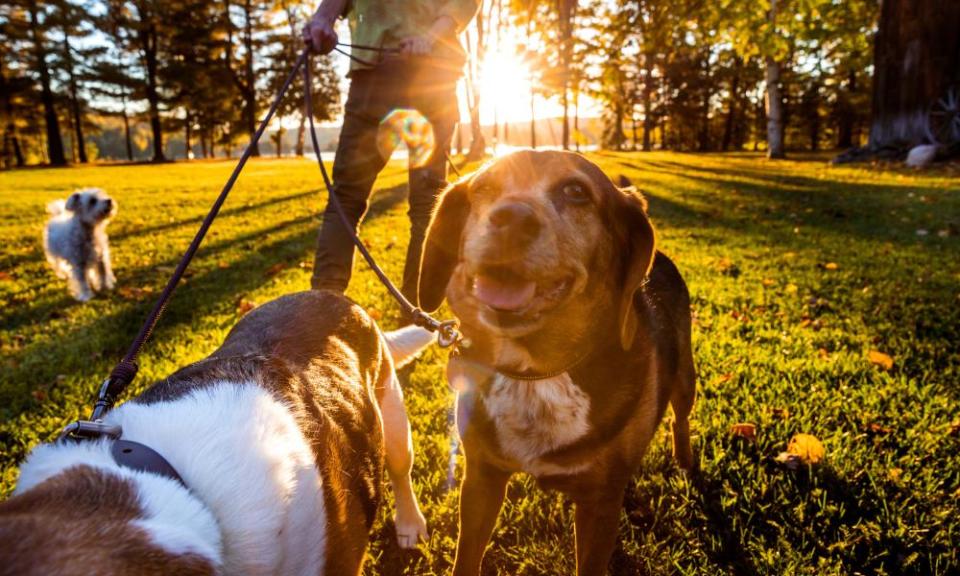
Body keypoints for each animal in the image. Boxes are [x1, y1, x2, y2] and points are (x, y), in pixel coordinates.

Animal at [416, 150, 692, 576]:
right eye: (484, 188)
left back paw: (685, 463)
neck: (536, 371)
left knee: (680, 419)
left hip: (684, 381)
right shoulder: (481, 478)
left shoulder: (599, 504)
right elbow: (467, 556)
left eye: (576, 191)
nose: (510, 217)